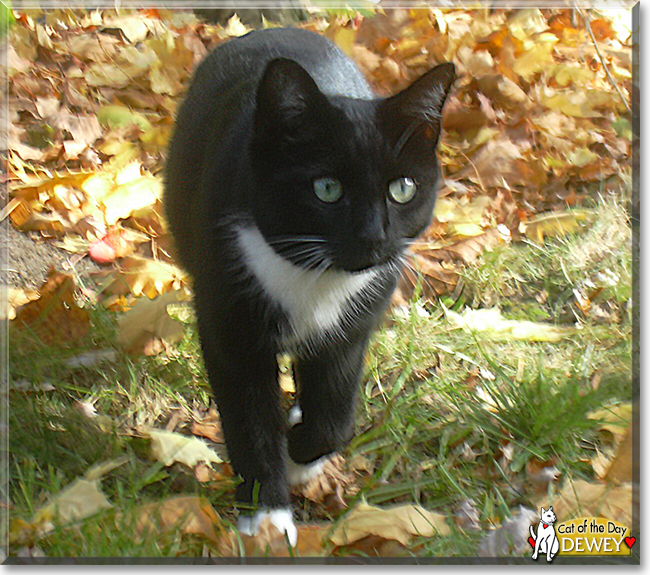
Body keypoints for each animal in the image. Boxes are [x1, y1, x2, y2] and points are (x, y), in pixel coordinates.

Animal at [165, 27, 454, 548]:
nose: (373, 236)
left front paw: (301, 453)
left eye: (402, 188)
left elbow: (335, 417)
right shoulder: (230, 325)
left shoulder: (352, 326)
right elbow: (250, 420)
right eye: (326, 189)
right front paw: (266, 518)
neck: (314, 276)